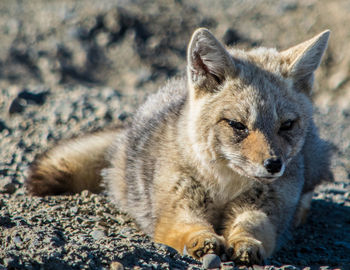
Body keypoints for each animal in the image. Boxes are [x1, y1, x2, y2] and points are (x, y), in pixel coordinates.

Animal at [26, 28, 334, 264]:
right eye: (237, 125)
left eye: (287, 125)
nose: (273, 165)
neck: (225, 187)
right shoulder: (176, 209)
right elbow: (188, 227)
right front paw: (203, 240)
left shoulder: (266, 209)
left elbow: (252, 225)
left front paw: (247, 243)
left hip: (314, 161)